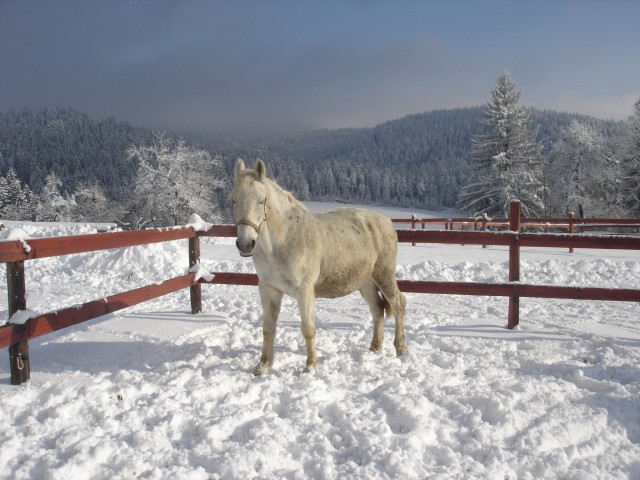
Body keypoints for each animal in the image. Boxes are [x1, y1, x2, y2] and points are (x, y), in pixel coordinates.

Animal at [232, 159, 408, 374]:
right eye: (233, 201)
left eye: (261, 201)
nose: (245, 244)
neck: (284, 240)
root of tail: (386, 221)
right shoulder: (269, 289)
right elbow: (268, 329)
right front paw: (263, 365)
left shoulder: (305, 291)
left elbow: (308, 329)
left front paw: (311, 366)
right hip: (365, 282)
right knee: (377, 310)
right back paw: (375, 347)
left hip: (384, 275)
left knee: (398, 304)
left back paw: (401, 348)